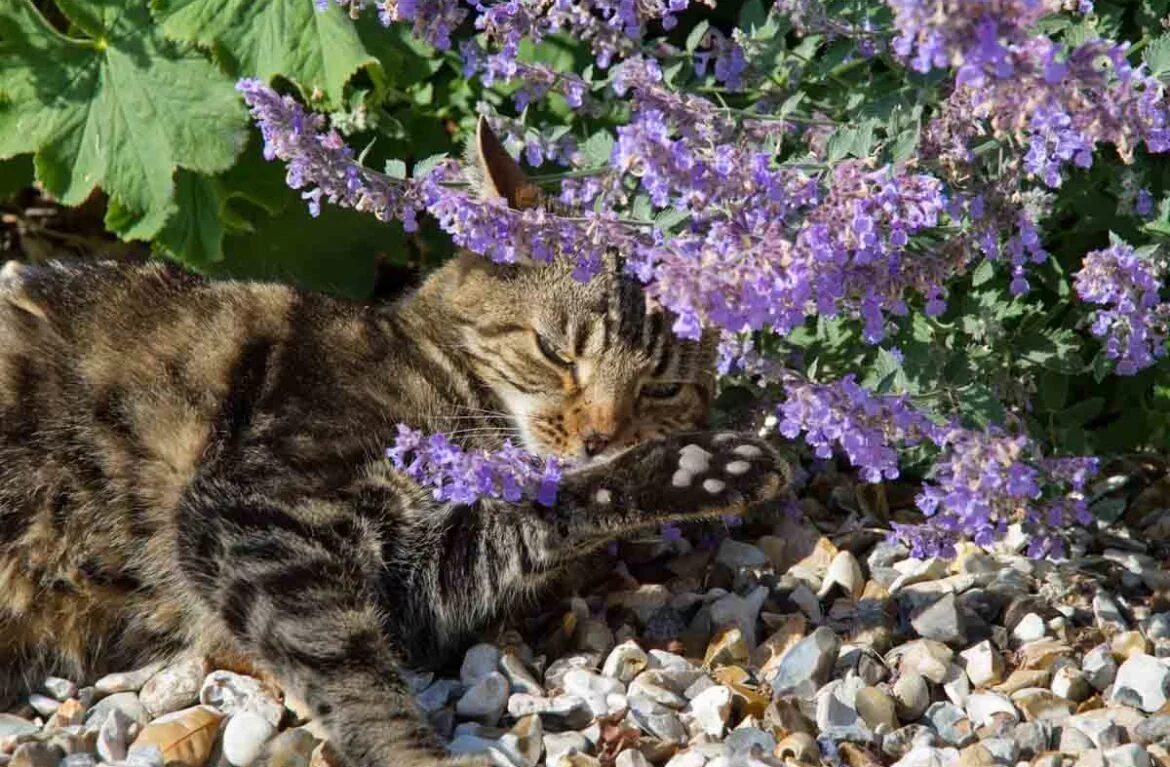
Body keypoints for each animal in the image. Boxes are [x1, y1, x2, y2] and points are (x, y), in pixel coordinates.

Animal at [0, 121, 790, 767]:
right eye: (555, 351)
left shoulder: (417, 576)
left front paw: (702, 468)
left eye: (661, 387)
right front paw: (411, 751)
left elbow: (531, 516)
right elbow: (349, 669)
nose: (602, 434)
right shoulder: (255, 512)